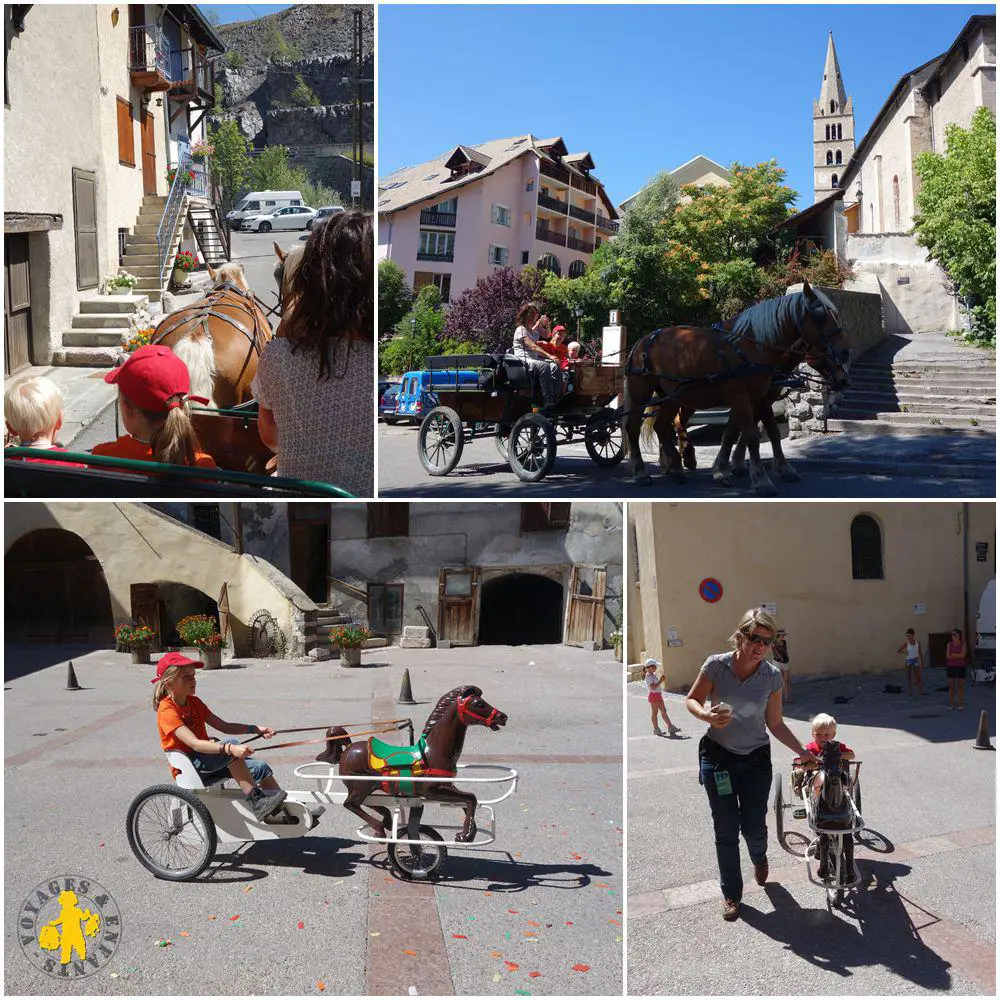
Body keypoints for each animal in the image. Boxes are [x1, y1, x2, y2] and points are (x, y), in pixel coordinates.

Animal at [318, 684, 508, 840]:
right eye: (479, 704)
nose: (503, 716)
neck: (433, 751)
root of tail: (348, 749)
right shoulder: (431, 791)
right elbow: (471, 798)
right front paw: (466, 835)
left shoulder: (449, 786)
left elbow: (467, 802)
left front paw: (468, 832)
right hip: (360, 786)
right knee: (351, 803)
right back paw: (380, 827)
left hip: (369, 786)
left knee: (368, 803)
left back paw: (386, 821)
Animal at [624, 280, 852, 494]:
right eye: (821, 314)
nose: (845, 352)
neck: (751, 346)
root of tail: (642, 341)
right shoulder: (741, 397)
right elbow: (748, 434)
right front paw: (758, 478)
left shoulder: (759, 396)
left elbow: (763, 431)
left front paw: (778, 468)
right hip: (641, 393)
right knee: (634, 427)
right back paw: (643, 471)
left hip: (672, 395)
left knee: (662, 426)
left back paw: (676, 468)